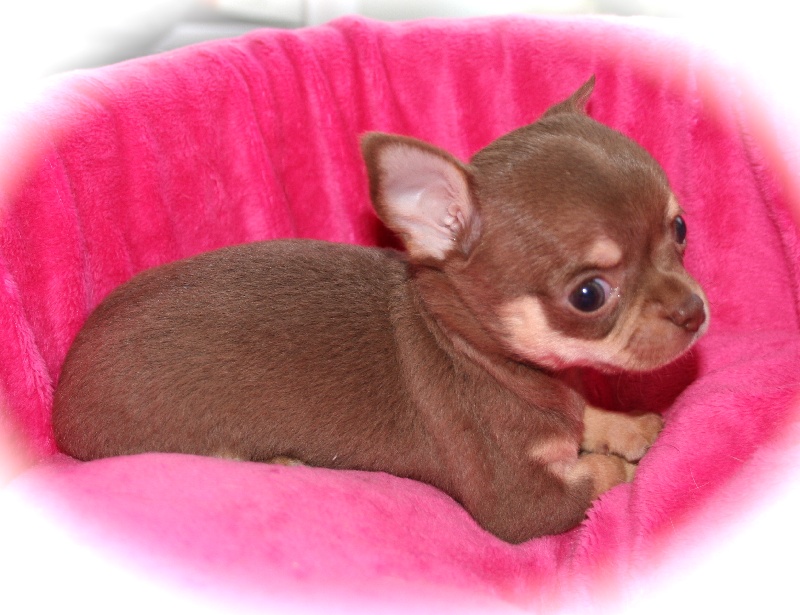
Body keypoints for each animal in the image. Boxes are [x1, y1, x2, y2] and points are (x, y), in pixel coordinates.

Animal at [52, 77, 708, 544]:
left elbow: (588, 415)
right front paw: (624, 463)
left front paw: (630, 424)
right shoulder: (521, 502)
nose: (696, 311)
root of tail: (61, 401)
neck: (485, 356)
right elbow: (598, 477)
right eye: (589, 295)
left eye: (679, 230)